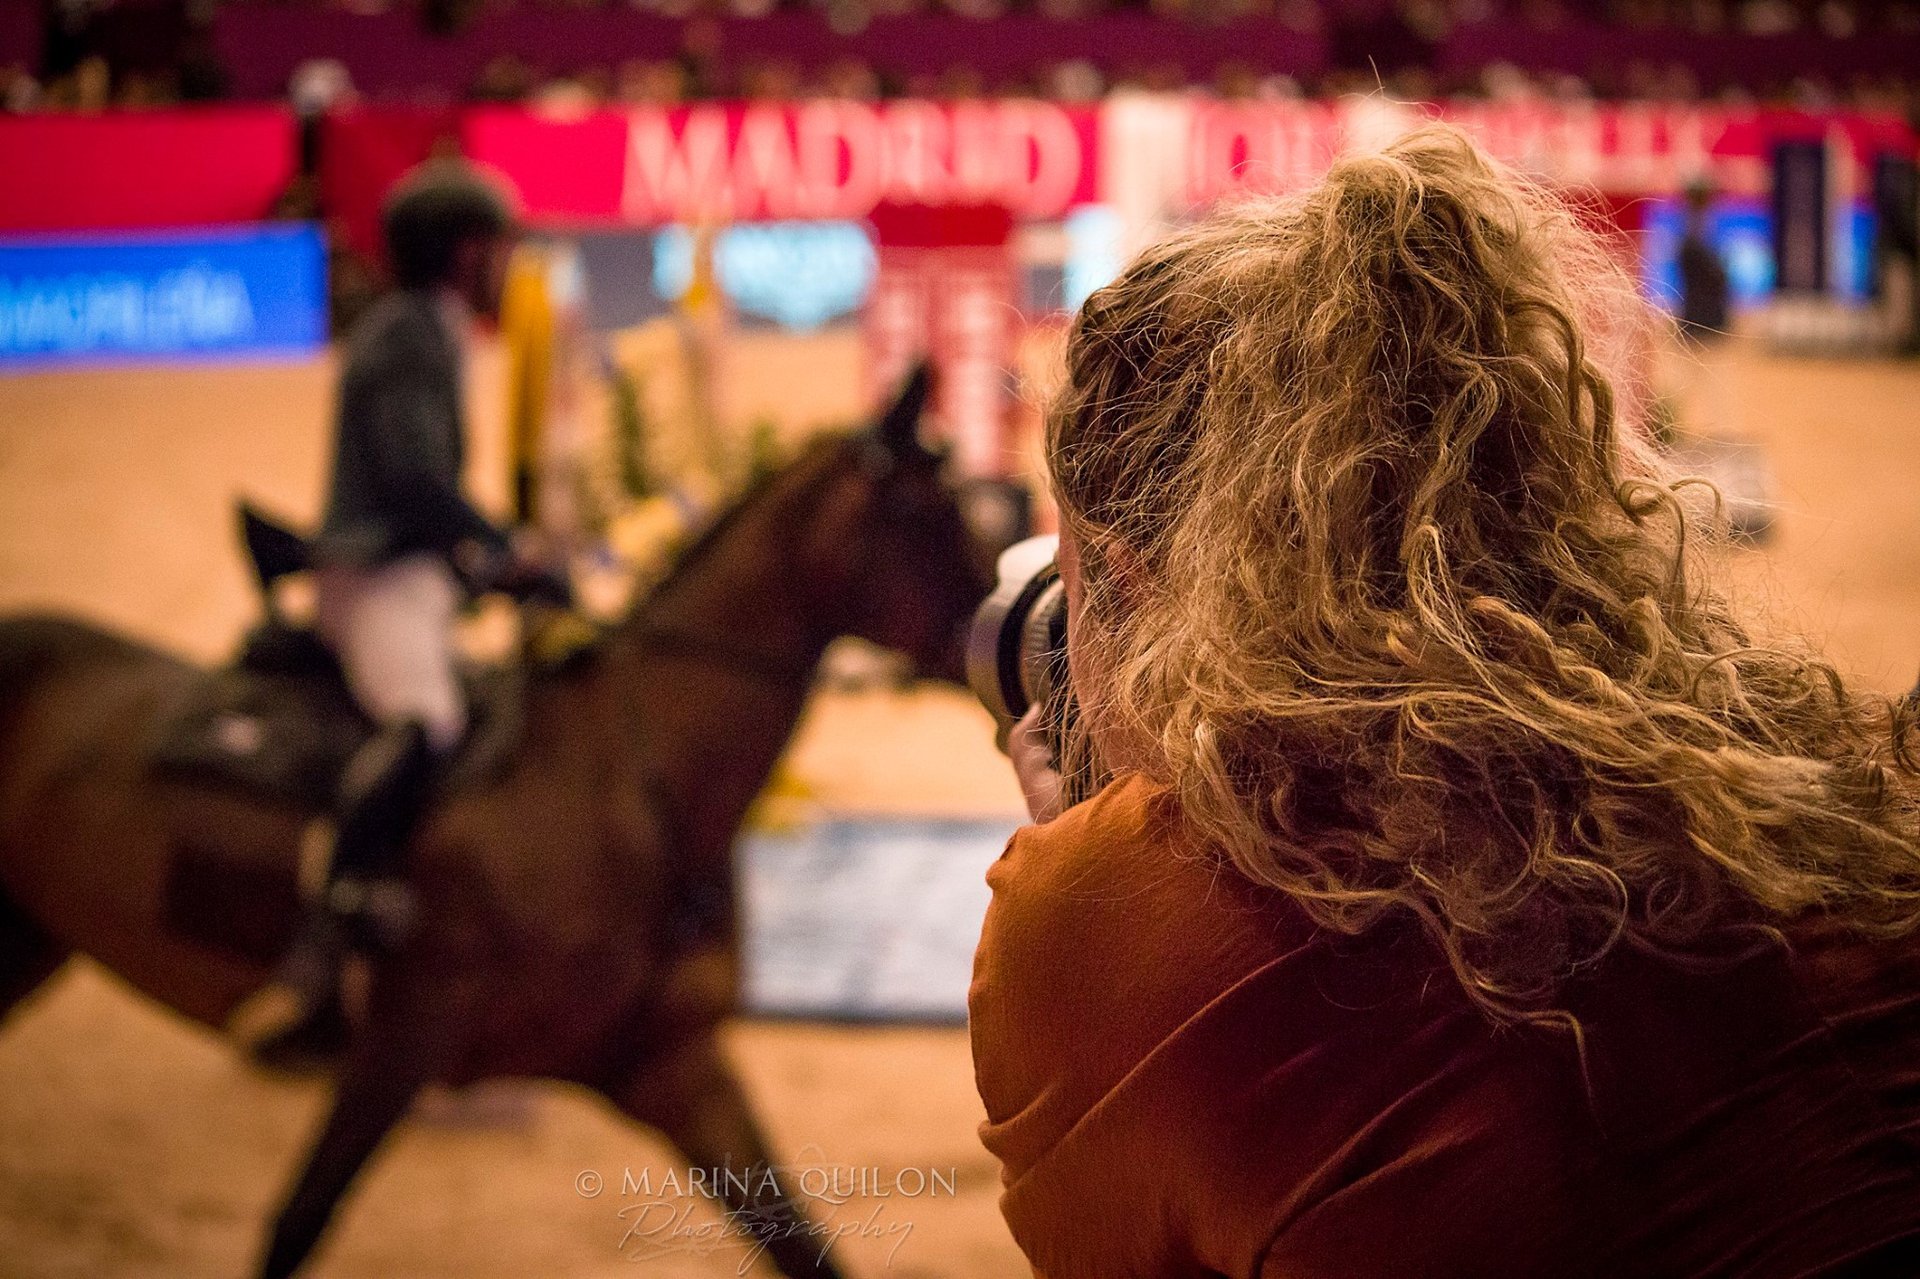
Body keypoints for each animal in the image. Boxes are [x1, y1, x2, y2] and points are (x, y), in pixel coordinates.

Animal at [0, 393, 990, 1267]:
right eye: (919, 509)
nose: (1000, 628)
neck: (621, 789)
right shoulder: (397, 1045)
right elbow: (297, 1223)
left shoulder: (674, 1065)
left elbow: (800, 1240)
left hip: (31, 946)